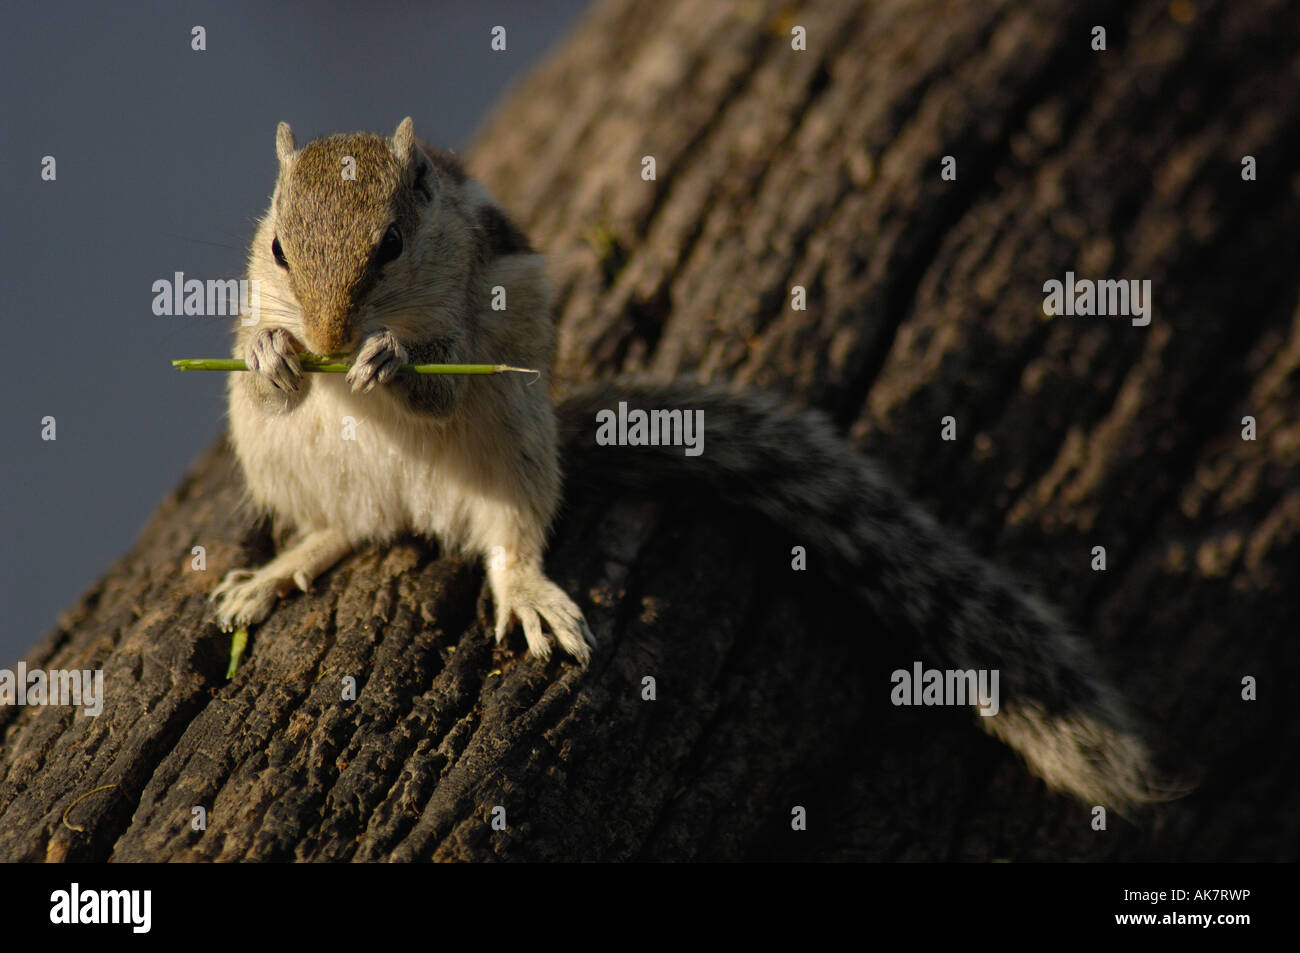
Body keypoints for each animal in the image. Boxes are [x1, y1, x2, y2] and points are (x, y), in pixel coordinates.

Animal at [213, 117, 1170, 811]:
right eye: (278, 250)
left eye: (392, 245)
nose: (330, 338)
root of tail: (414, 508)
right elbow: (267, 370)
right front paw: (273, 354)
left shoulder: (472, 331)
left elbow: (442, 380)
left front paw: (390, 362)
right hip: (276, 461)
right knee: (343, 527)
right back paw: (276, 570)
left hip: (516, 437)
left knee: (511, 535)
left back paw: (526, 591)